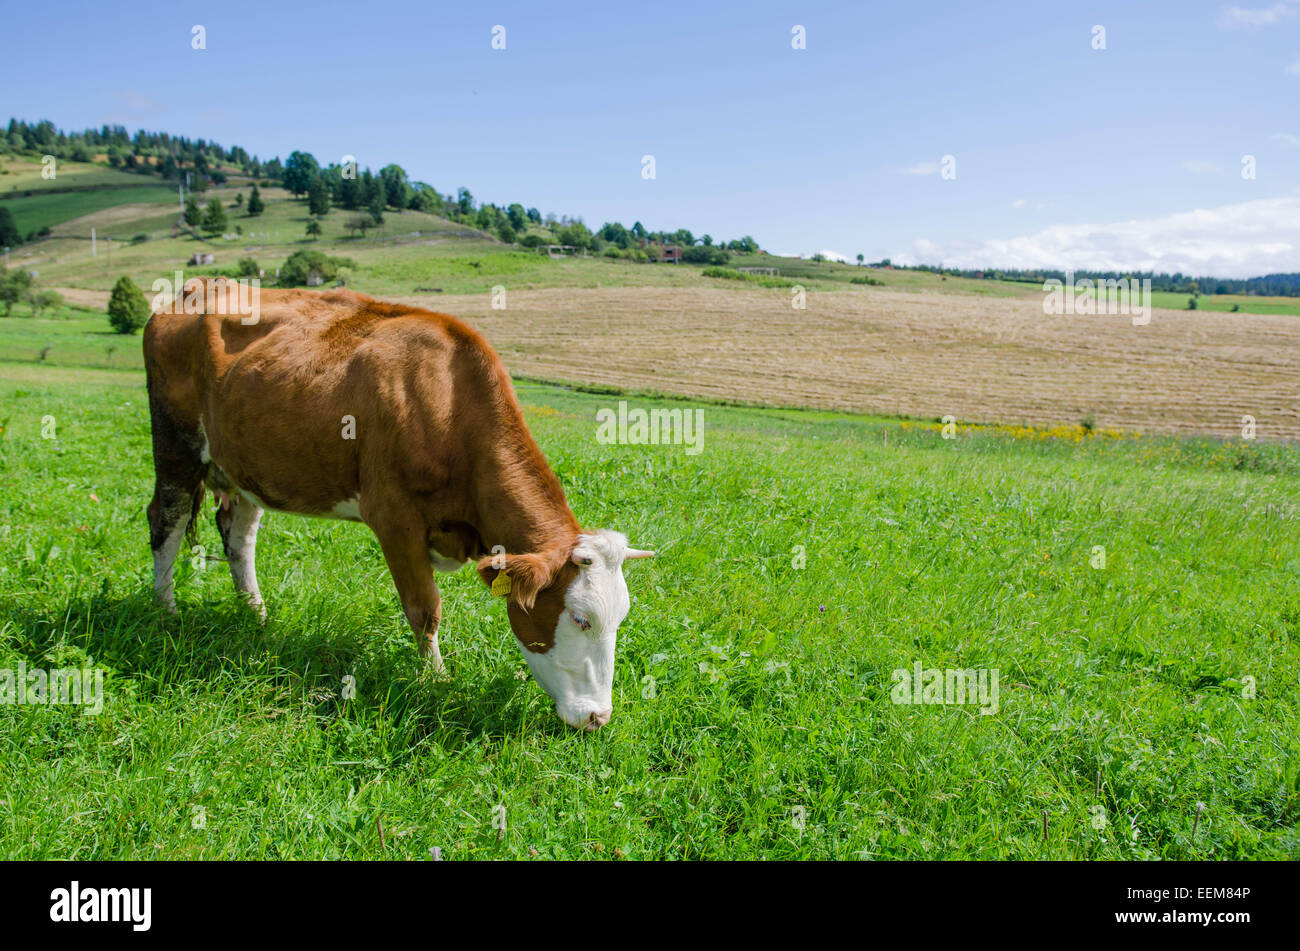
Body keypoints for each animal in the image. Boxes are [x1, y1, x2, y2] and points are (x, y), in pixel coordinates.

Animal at [142, 279, 653, 731]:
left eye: (620, 618)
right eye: (581, 619)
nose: (598, 718)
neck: (448, 403)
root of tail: (199, 286)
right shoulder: (394, 519)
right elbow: (425, 608)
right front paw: (435, 680)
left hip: (245, 466)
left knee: (238, 534)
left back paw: (256, 615)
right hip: (175, 445)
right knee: (166, 523)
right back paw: (165, 613)